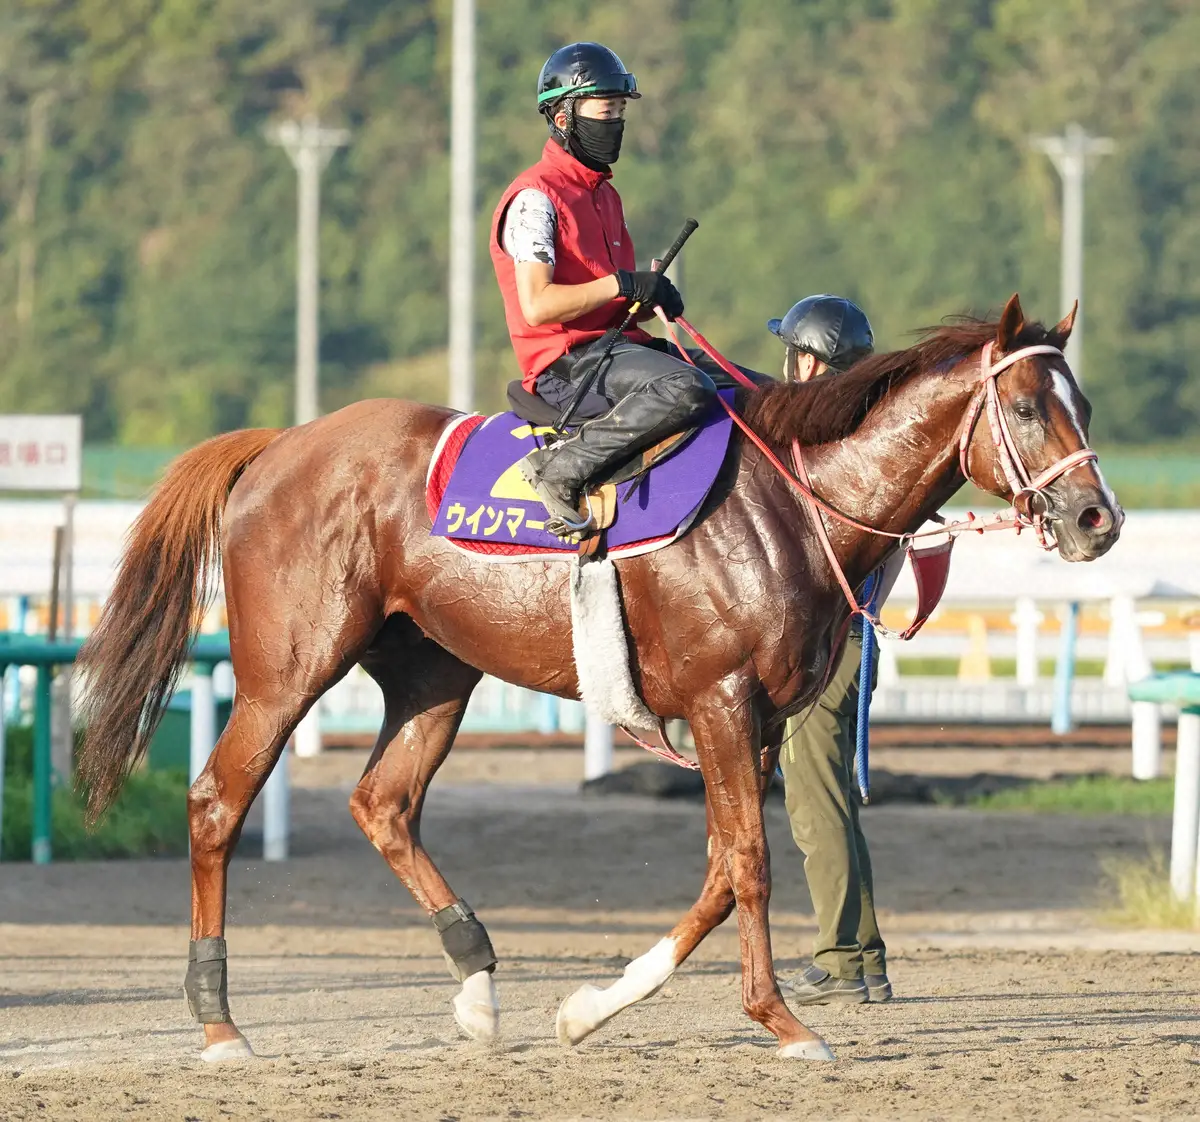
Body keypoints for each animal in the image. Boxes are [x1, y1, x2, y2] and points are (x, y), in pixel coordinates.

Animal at [79, 296, 1118, 1060]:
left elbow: (721, 871)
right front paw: (782, 1021)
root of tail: (277, 443)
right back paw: (218, 1021)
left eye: (1086, 406)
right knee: (218, 801)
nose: (1097, 518)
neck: (793, 502)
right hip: (286, 672)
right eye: (1029, 407)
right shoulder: (724, 702)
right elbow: (750, 864)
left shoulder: (759, 719)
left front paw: (593, 1007)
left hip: (435, 676)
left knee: (383, 804)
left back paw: (477, 984)